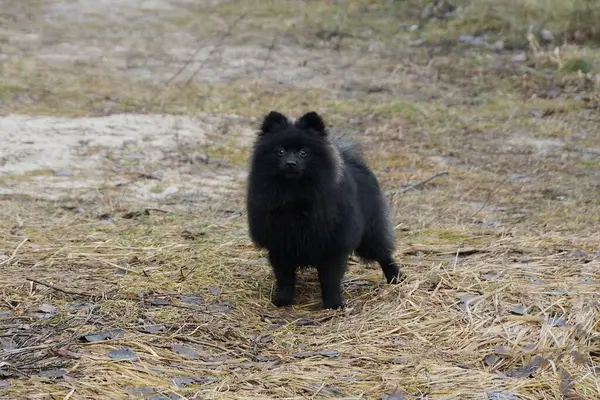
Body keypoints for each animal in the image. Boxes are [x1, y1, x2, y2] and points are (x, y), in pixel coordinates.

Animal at [244, 110, 404, 310]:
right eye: (280, 151)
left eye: (304, 152)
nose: (290, 163)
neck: (294, 195)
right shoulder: (279, 245)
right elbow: (285, 278)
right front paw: (283, 300)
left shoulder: (333, 245)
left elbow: (330, 279)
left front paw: (333, 303)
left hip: (370, 234)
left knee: (383, 253)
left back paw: (395, 277)